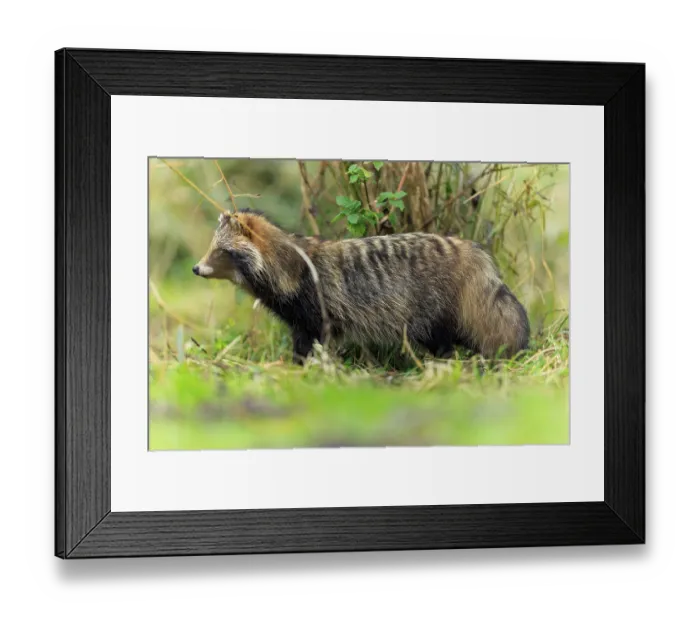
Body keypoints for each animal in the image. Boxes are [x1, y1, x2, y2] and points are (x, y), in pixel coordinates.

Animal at [193, 210, 529, 362]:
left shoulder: (316, 312)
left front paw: (303, 368)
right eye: (211, 247)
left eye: (221, 251)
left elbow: (310, 344)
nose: (196, 268)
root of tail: (468, 248)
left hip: (430, 312)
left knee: (444, 340)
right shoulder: (301, 318)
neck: (290, 265)